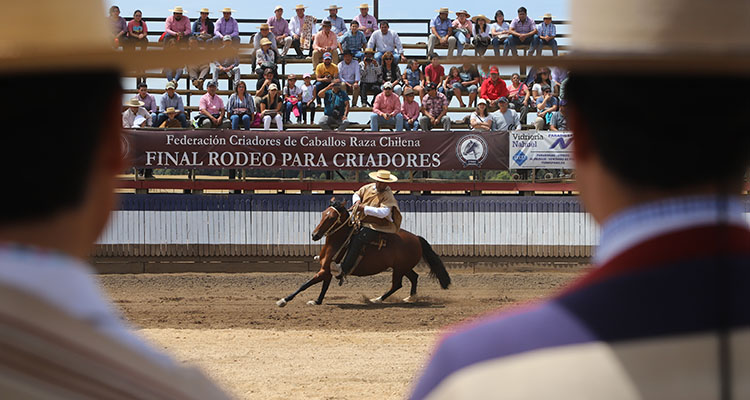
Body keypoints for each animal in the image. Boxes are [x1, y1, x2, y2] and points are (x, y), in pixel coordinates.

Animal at [276, 198, 452, 306]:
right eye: (323, 213)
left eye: (332, 218)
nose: (314, 235)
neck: (338, 242)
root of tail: (416, 238)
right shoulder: (327, 271)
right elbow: (323, 288)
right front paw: (317, 301)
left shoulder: (324, 271)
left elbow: (304, 285)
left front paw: (283, 300)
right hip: (402, 267)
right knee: (413, 278)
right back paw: (410, 297)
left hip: (399, 269)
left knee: (397, 284)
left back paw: (378, 299)